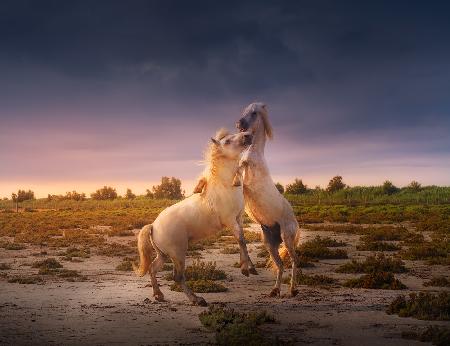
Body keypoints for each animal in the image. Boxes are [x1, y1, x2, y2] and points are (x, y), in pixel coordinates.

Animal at [134, 129, 253, 306]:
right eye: (227, 141)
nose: (248, 135)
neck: (225, 187)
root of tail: (153, 226)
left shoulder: (238, 219)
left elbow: (242, 242)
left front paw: (248, 267)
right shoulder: (231, 221)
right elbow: (242, 240)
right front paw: (248, 269)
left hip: (164, 255)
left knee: (153, 268)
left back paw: (159, 295)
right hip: (178, 254)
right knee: (178, 277)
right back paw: (197, 299)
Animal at [234, 101, 300, 296]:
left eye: (254, 113)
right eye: (244, 111)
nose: (239, 125)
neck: (254, 153)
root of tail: (296, 222)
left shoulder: (247, 183)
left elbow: (239, 170)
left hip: (287, 238)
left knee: (294, 261)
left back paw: (293, 290)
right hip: (270, 243)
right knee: (280, 264)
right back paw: (275, 290)